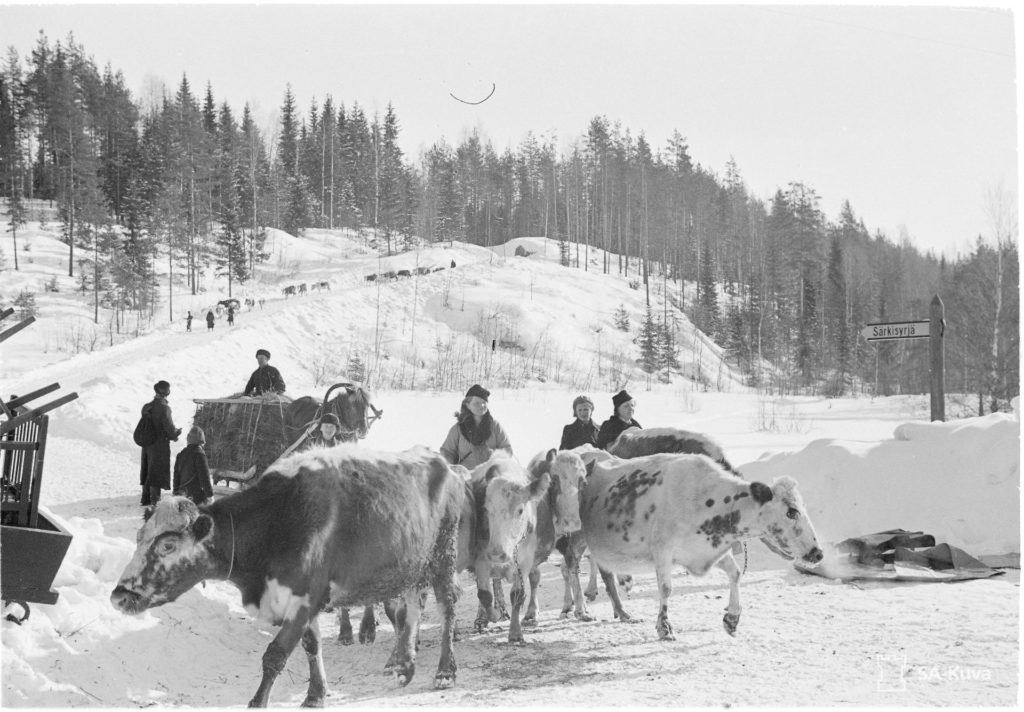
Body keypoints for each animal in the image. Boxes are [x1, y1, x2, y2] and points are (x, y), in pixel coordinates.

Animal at [111, 446, 464, 708]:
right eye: (139, 537)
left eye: (168, 545)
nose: (119, 595)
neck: (276, 521)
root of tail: (446, 464)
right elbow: (311, 645)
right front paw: (316, 695)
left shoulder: (304, 597)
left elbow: (275, 656)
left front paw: (258, 702)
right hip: (411, 565)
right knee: (410, 609)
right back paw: (402, 665)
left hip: (443, 554)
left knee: (447, 608)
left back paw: (445, 671)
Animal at [561, 450, 823, 639]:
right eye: (791, 511)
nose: (817, 553)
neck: (708, 500)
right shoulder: (663, 551)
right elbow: (666, 588)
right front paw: (664, 627)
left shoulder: (705, 548)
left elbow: (735, 573)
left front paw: (732, 618)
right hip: (576, 537)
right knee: (571, 568)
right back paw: (579, 609)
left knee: (591, 571)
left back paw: (613, 610)